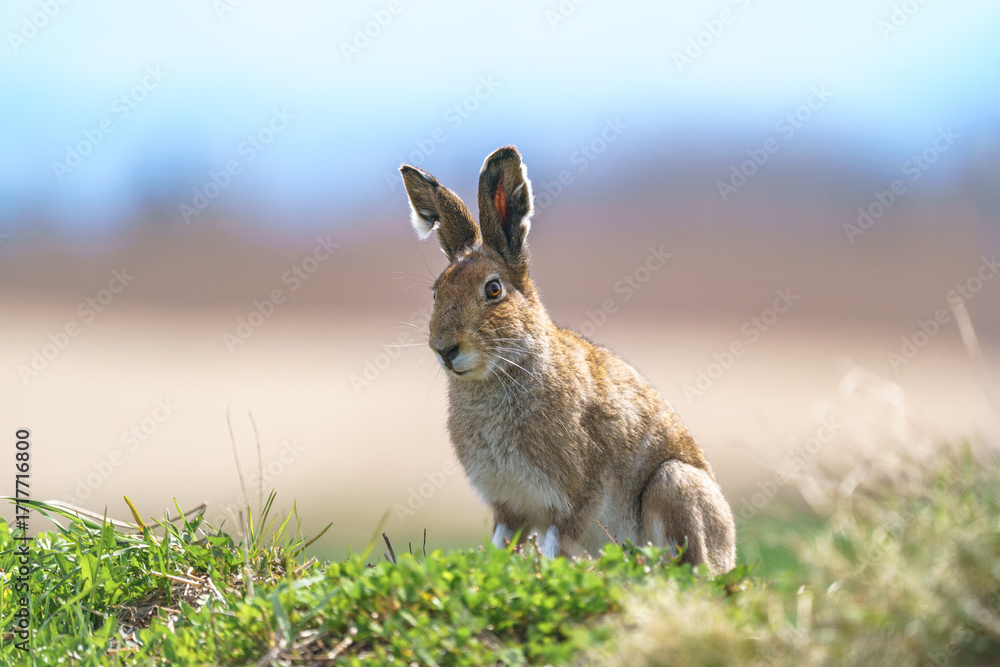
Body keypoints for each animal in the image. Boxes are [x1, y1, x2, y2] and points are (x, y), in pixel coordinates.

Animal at [399, 146, 736, 574]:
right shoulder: (509, 507)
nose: (443, 348)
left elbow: (556, 546)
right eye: (436, 291)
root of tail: (730, 547)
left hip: (674, 484)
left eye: (493, 289)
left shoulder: (575, 499)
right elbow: (501, 545)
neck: (510, 366)